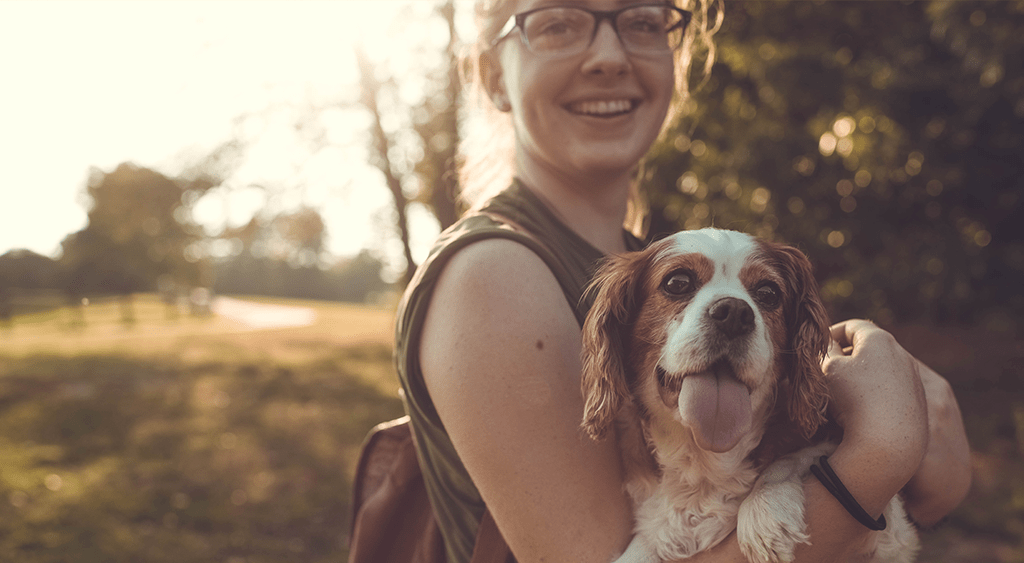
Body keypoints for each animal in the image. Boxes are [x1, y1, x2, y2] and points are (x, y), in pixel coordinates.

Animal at [585, 228, 921, 563]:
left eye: (769, 293)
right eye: (677, 282)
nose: (733, 313)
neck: (707, 458)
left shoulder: (894, 536)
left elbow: (798, 456)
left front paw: (766, 509)